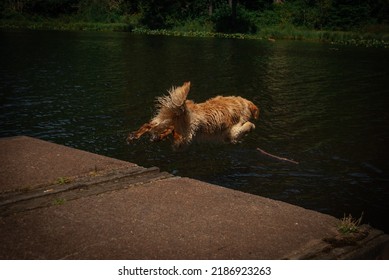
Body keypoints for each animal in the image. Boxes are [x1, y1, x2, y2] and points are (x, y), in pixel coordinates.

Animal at [127, 81, 260, 150]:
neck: (240, 104)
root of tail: (182, 110)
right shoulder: (232, 132)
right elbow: (247, 125)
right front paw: (251, 126)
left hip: (163, 120)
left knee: (149, 126)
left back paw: (135, 136)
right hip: (187, 133)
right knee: (177, 136)